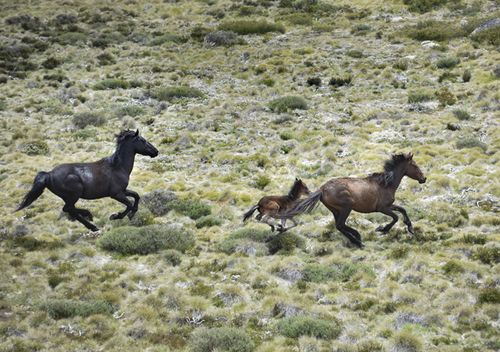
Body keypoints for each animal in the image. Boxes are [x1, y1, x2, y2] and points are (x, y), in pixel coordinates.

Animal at [16, 129, 158, 231]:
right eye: (142, 140)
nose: (156, 151)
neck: (117, 166)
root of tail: (49, 174)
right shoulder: (116, 194)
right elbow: (129, 203)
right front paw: (116, 216)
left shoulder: (123, 190)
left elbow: (136, 196)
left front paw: (131, 214)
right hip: (74, 195)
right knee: (68, 209)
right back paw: (90, 216)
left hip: (69, 197)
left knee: (70, 210)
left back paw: (92, 225)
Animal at [282, 154, 426, 248]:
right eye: (414, 165)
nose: (423, 178)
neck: (386, 184)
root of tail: (322, 189)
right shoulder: (382, 208)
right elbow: (395, 217)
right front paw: (382, 229)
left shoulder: (389, 205)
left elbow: (402, 209)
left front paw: (410, 228)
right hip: (346, 207)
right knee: (340, 225)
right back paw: (358, 240)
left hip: (336, 210)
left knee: (339, 226)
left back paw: (357, 238)